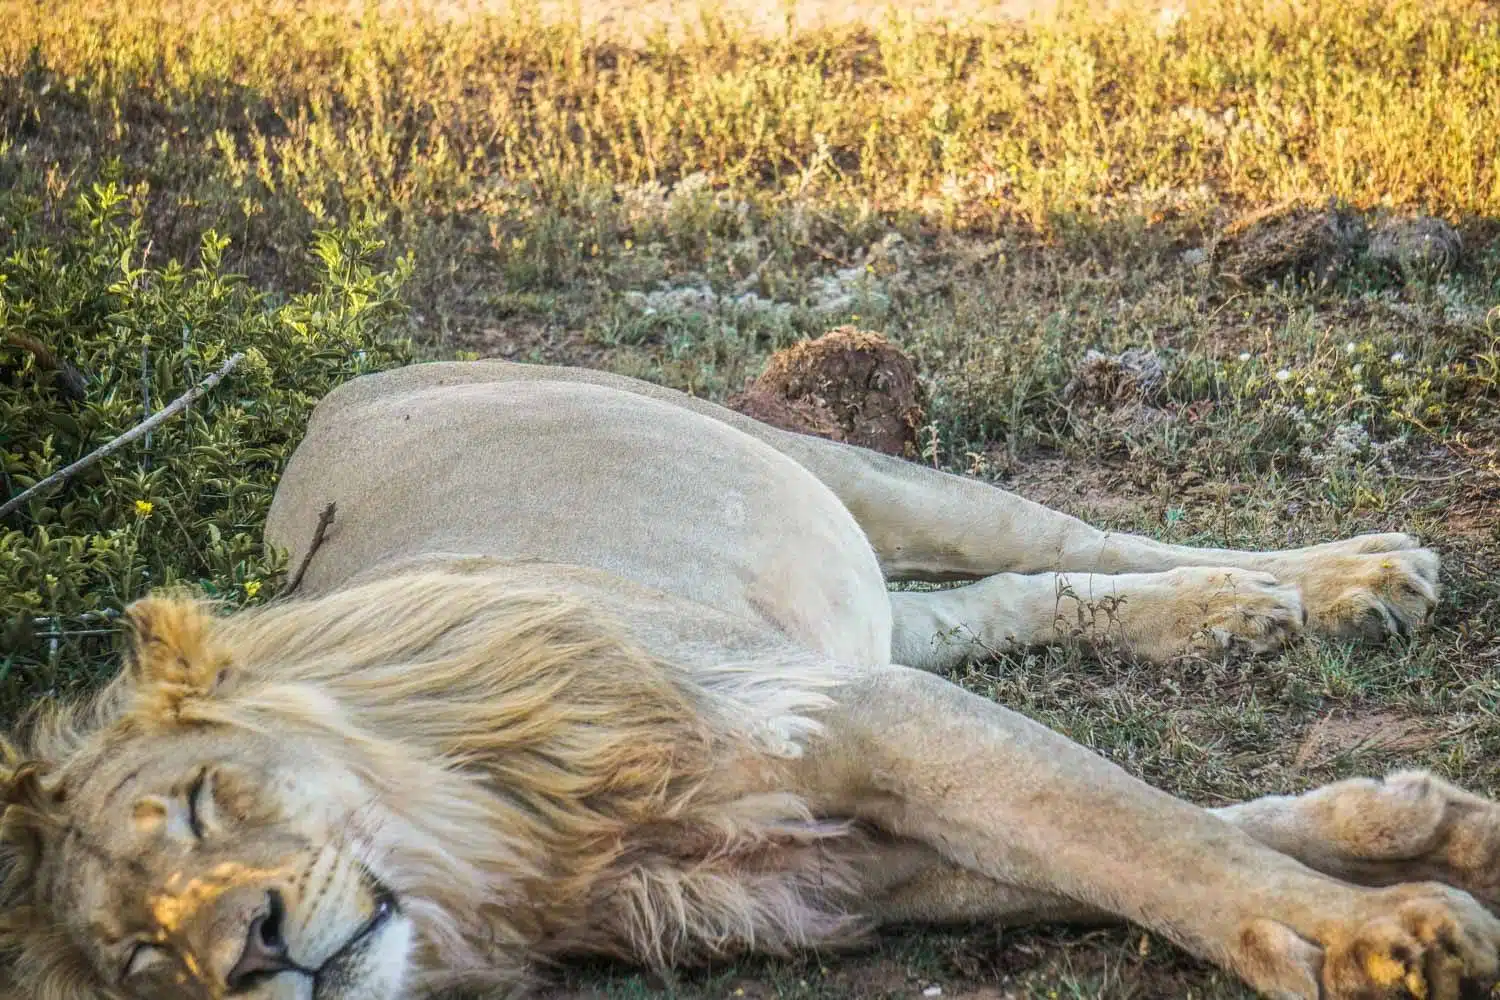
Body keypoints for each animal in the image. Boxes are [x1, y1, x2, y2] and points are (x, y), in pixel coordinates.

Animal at [4, 359, 1498, 1000]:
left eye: (206, 801)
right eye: (144, 959)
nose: (248, 953)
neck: (505, 852)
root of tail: (336, 395)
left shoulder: (853, 714)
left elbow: (1151, 840)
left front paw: (1385, 933)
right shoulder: (840, 873)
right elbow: (1149, 849)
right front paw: (1414, 837)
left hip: (836, 467)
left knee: (1076, 539)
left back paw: (1344, 584)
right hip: (852, 605)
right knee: (995, 604)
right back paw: (1236, 620)